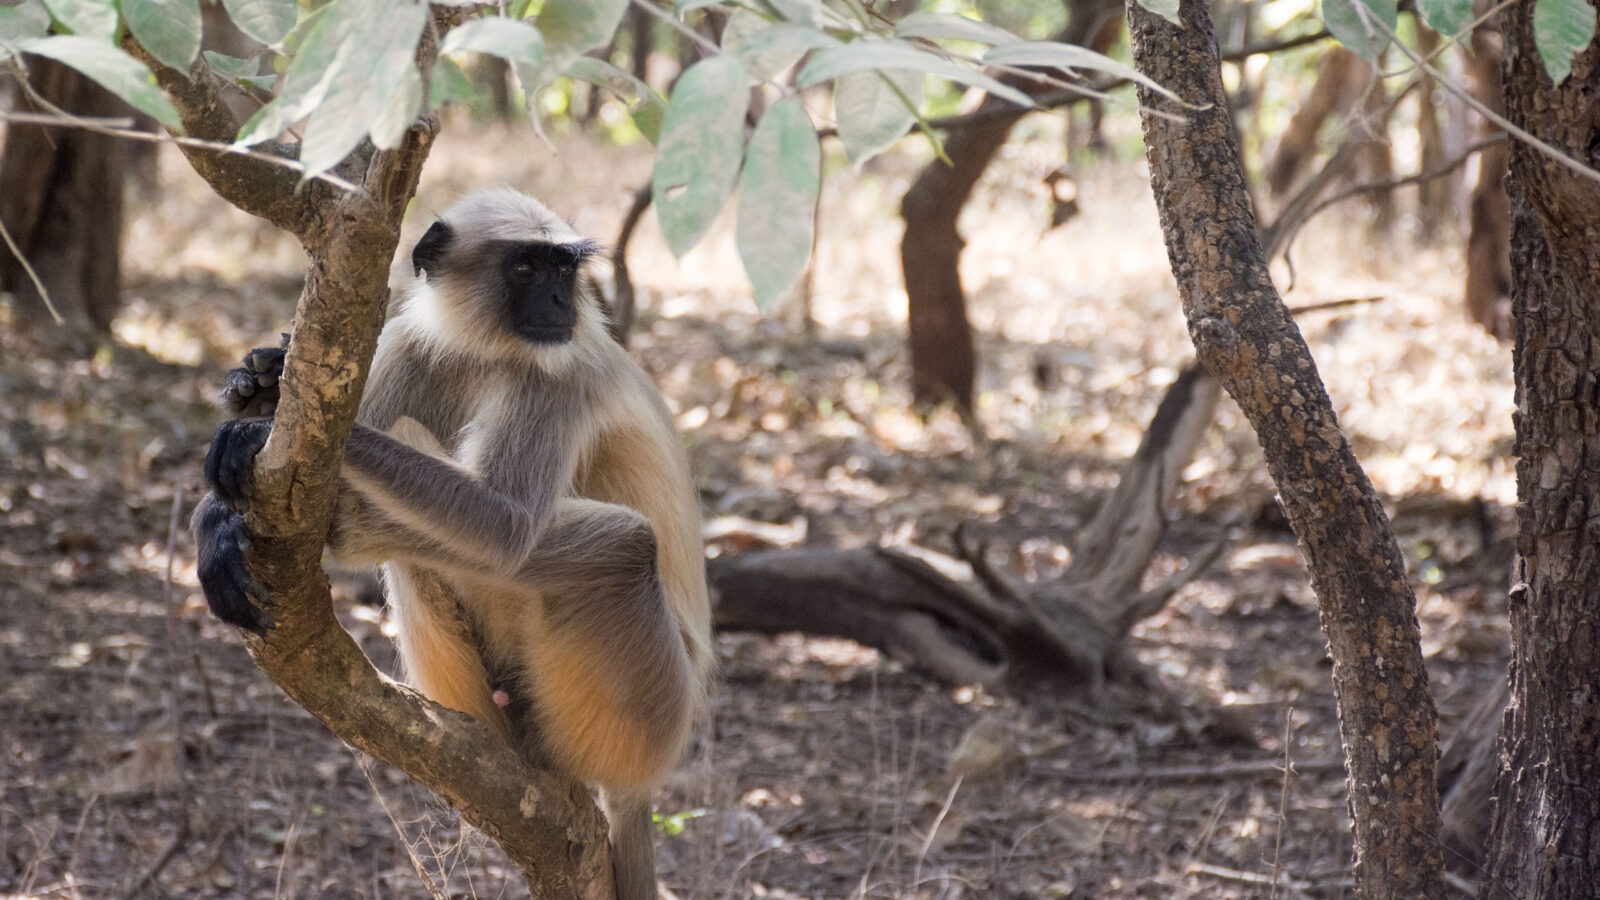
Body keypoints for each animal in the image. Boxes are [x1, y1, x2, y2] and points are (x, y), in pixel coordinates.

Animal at [193, 188, 713, 900]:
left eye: (564, 268)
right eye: (526, 268)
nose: (561, 302)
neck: (487, 349)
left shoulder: (559, 373)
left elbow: (507, 526)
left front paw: (264, 421)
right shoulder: (409, 346)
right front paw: (250, 406)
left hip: (646, 713)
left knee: (622, 542)